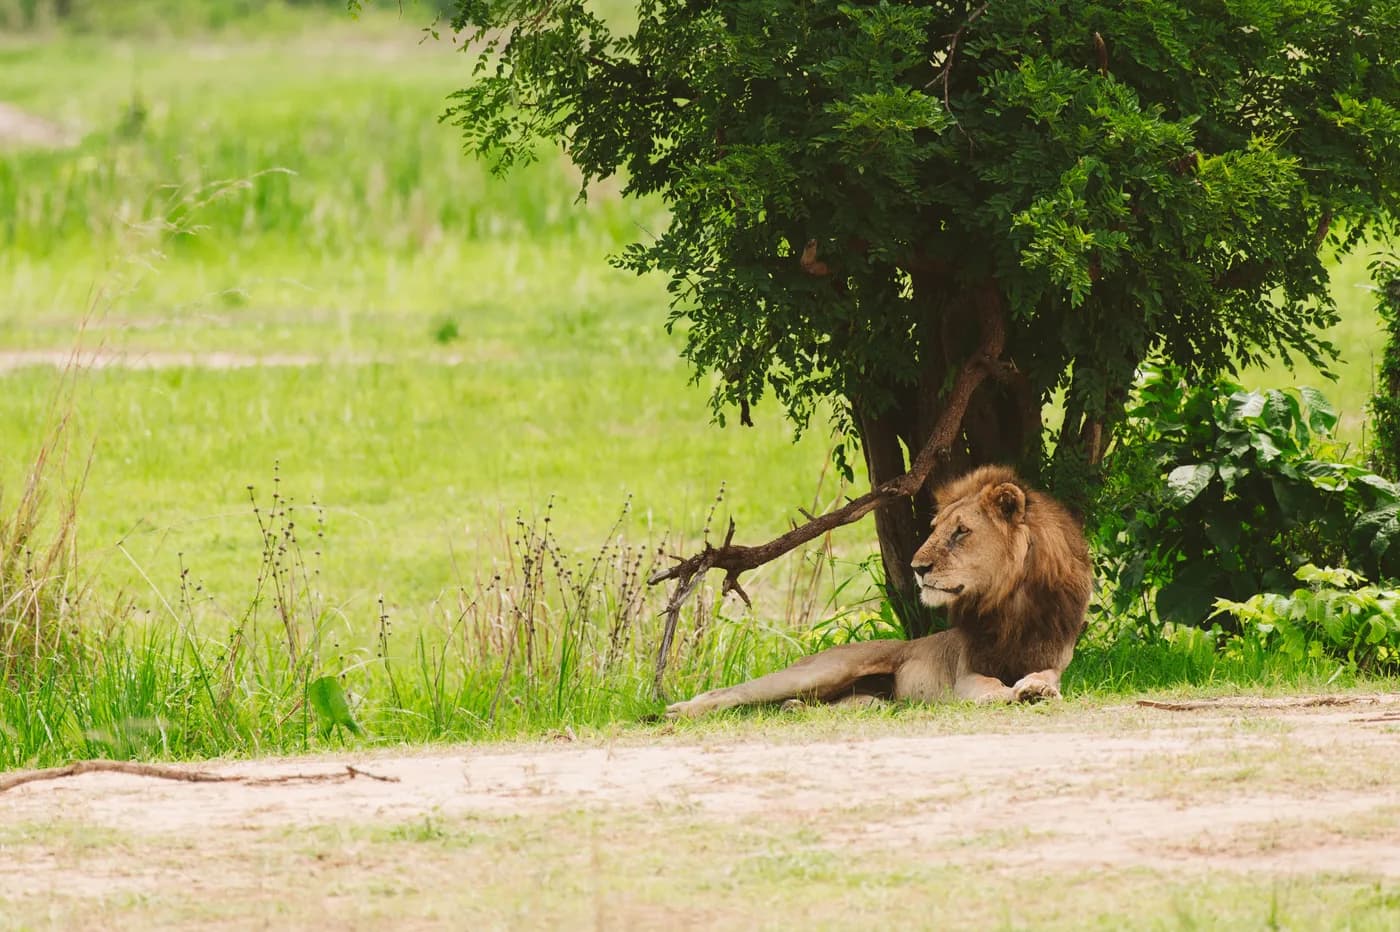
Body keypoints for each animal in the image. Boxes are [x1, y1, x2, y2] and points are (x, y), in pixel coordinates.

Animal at [665, 465, 1093, 717]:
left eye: (961, 532)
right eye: (936, 528)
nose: (917, 568)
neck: (1010, 602)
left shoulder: (1054, 657)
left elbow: (1045, 675)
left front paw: (1036, 689)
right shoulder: (965, 673)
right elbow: (988, 686)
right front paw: (1006, 693)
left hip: (864, 700)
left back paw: (792, 710)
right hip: (824, 670)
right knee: (728, 693)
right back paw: (678, 710)